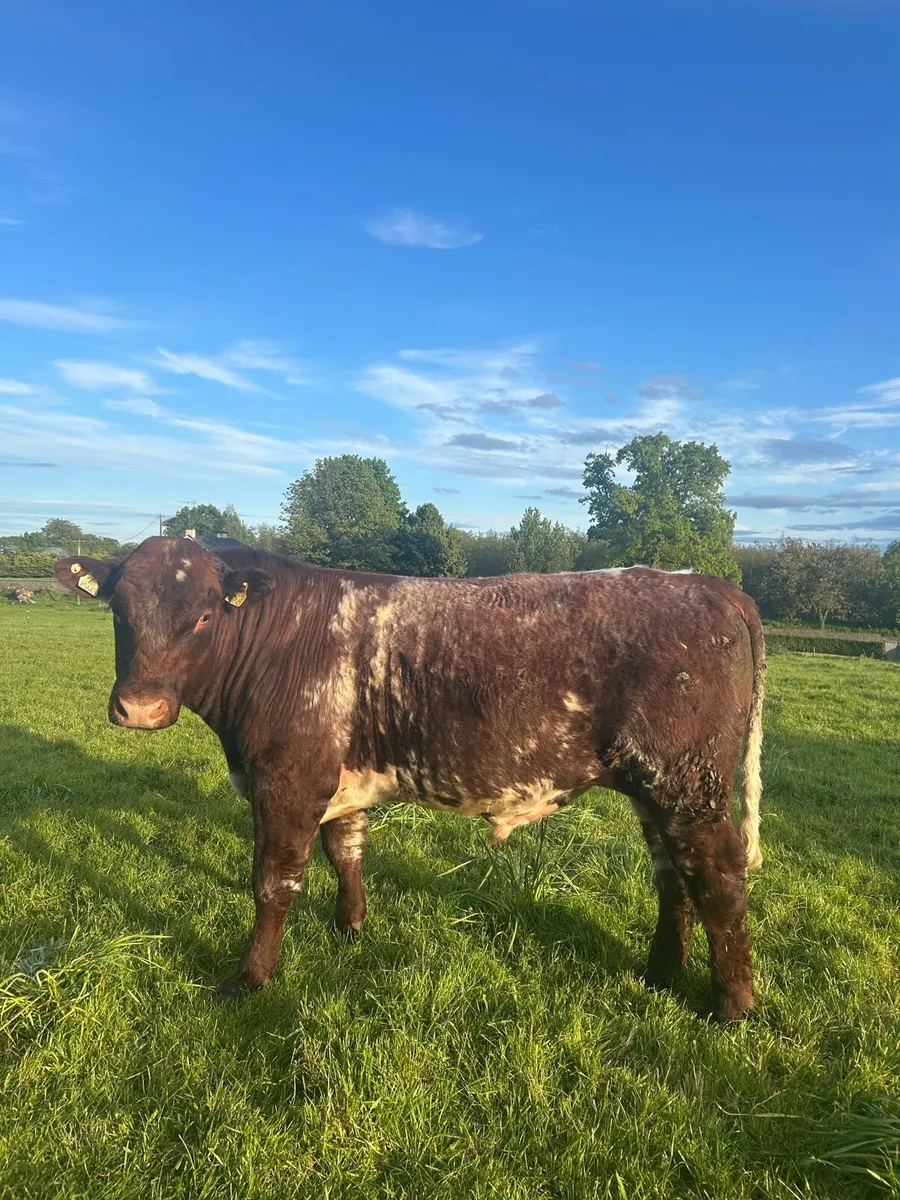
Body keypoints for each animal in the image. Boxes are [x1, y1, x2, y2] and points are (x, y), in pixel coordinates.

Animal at [54, 538, 765, 1022]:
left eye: (204, 615)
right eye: (118, 610)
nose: (140, 708)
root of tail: (711, 585)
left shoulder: (285, 780)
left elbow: (273, 883)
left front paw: (250, 979)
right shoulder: (338, 782)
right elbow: (346, 850)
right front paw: (351, 928)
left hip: (687, 784)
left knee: (718, 876)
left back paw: (730, 1007)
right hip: (656, 790)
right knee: (673, 876)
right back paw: (660, 972)